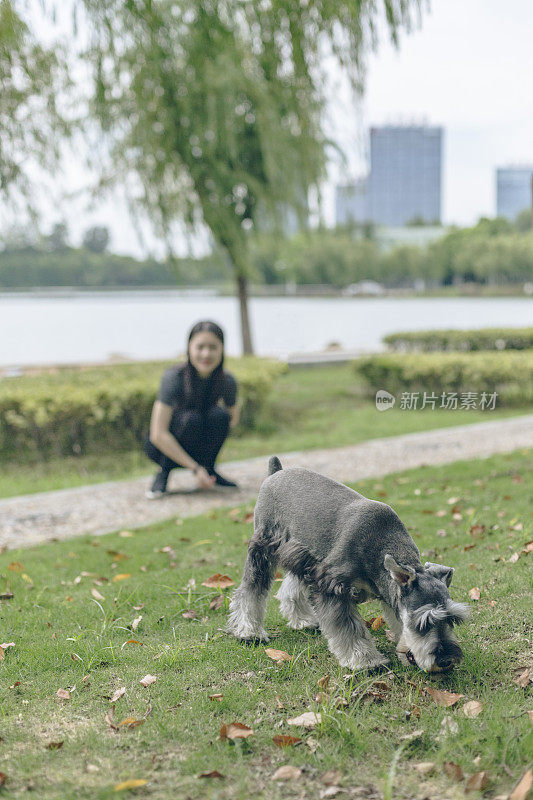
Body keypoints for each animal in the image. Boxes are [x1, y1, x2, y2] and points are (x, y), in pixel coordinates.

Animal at [227, 460, 468, 672]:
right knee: (250, 590)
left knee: (291, 586)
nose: (446, 660)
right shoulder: (332, 586)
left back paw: (303, 621)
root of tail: (276, 471)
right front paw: (366, 662)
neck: (381, 544)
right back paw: (249, 632)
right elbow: (349, 630)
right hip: (263, 548)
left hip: (302, 553)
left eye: (452, 619)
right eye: (423, 624)